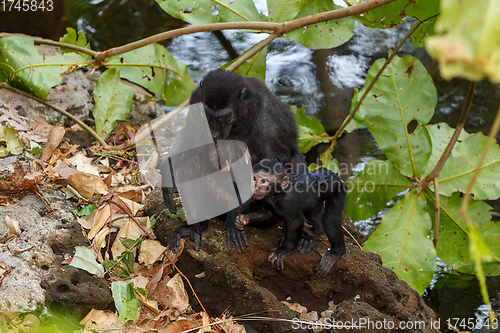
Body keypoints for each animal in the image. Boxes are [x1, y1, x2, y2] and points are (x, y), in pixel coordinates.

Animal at [164, 69, 304, 252]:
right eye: (207, 115)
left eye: (224, 118)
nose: (214, 133)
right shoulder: (196, 99)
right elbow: (190, 137)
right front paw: (167, 173)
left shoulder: (265, 121)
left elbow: (269, 164)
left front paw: (234, 221)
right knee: (193, 160)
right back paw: (196, 225)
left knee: (295, 159)